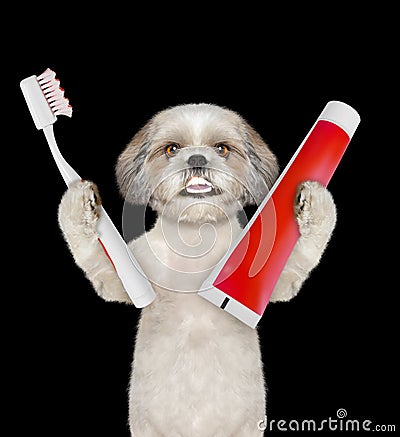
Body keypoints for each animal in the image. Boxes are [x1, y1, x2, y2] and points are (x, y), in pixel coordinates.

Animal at [57, 104, 338, 434]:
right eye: (172, 149)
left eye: (222, 149)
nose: (197, 158)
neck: (195, 239)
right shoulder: (129, 274)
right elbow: (95, 258)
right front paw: (79, 200)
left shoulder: (269, 275)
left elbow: (299, 257)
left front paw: (316, 200)